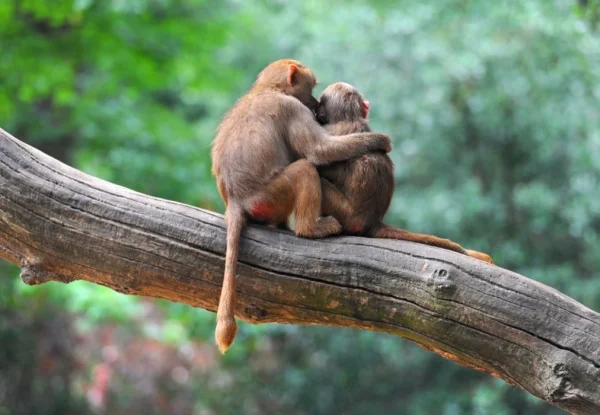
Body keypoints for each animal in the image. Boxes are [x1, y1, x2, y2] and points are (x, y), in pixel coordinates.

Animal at [211, 59, 394, 354]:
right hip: (270, 196)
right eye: (312, 88)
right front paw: (381, 141)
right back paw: (311, 229)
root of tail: (236, 200)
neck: (267, 89)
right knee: (305, 169)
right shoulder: (292, 109)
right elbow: (318, 152)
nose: (315, 104)